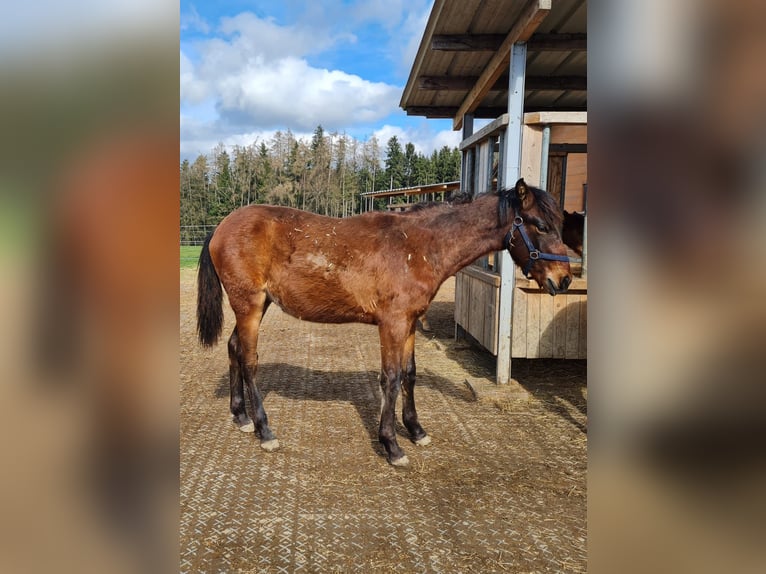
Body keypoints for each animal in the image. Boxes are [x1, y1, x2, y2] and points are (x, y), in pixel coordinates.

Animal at [198, 178, 568, 466]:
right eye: (541, 225)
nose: (563, 279)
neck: (417, 246)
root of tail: (221, 227)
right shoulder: (392, 324)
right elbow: (390, 378)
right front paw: (391, 444)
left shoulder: (411, 323)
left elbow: (409, 374)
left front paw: (416, 430)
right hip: (249, 305)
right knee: (248, 360)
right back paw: (264, 430)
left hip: (257, 306)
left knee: (233, 348)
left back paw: (241, 416)